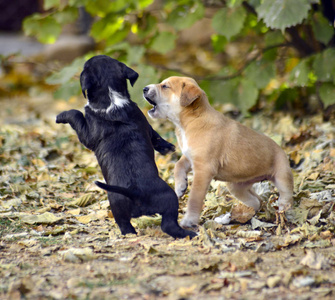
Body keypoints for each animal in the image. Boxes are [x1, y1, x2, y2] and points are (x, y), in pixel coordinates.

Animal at [56, 55, 196, 239]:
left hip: (130, 203)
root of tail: (136, 192)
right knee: (158, 224)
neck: (111, 100)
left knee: (146, 226)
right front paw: (167, 147)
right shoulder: (142, 121)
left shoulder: (87, 133)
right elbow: (154, 134)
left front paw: (61, 116)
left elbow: (76, 114)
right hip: (149, 201)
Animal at [144, 77, 294, 227]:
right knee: (256, 201)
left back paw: (282, 211)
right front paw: (181, 186)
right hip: (236, 186)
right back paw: (233, 216)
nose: (145, 88)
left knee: (286, 196)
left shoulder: (203, 169)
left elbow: (194, 198)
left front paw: (189, 220)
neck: (191, 120)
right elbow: (178, 165)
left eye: (165, 86)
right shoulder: (190, 157)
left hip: (282, 176)